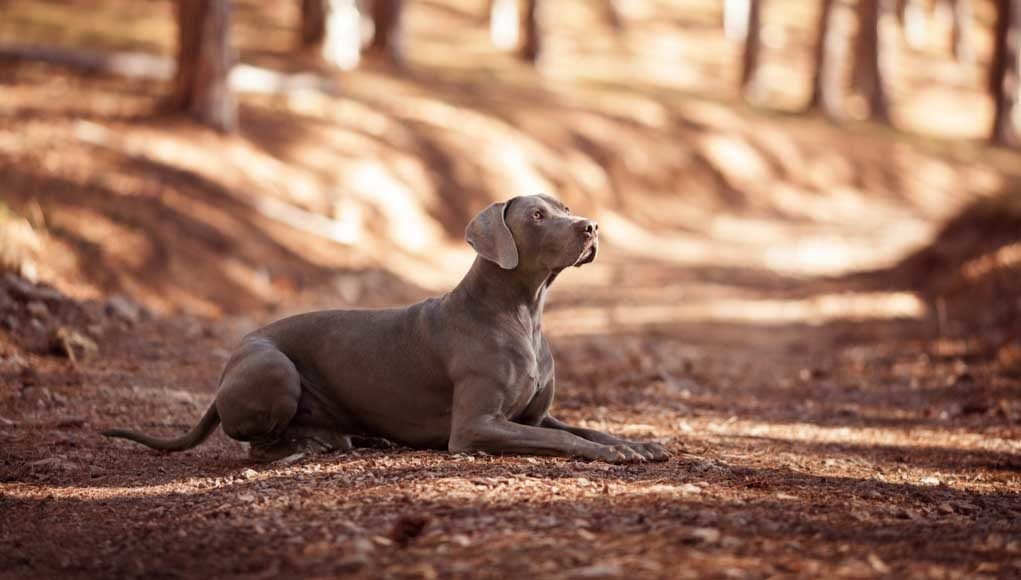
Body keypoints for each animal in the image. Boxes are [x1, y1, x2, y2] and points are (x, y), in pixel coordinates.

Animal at [105, 194, 669, 461]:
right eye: (536, 215)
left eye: (566, 207)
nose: (591, 227)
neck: (522, 313)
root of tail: (229, 365)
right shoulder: (475, 427)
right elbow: (563, 440)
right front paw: (611, 454)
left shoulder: (535, 415)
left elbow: (582, 427)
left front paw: (637, 444)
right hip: (273, 366)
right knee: (256, 443)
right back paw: (308, 447)